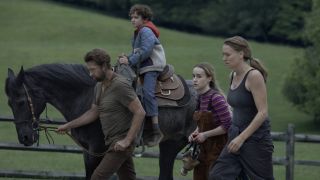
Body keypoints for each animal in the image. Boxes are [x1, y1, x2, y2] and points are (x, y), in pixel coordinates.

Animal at [4, 63, 198, 179]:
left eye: (20, 101)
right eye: (9, 103)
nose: (24, 138)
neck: (86, 95)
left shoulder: (97, 149)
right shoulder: (87, 150)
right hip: (170, 145)